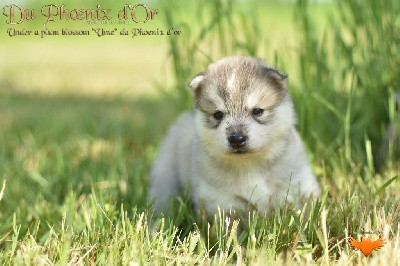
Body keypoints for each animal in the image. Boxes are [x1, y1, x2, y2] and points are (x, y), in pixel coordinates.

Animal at [148, 55, 320, 216]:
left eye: (257, 111)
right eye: (218, 115)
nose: (237, 139)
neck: (249, 164)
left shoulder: (299, 184)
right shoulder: (219, 201)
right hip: (165, 175)